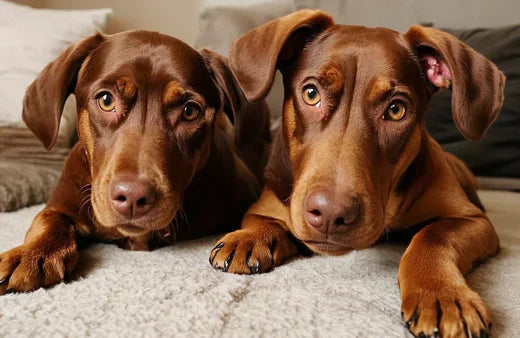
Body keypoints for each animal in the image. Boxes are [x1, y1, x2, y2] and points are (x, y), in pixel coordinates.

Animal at [1, 31, 272, 296]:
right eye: (106, 100)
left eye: (189, 111)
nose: (132, 197)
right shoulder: (63, 198)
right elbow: (47, 219)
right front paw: (31, 253)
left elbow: (259, 211)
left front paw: (253, 237)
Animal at [209, 9, 506, 336]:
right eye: (311, 94)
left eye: (396, 110)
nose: (330, 215)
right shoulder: (271, 200)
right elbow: (264, 219)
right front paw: (249, 237)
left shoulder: (473, 220)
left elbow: (434, 235)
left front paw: (440, 293)